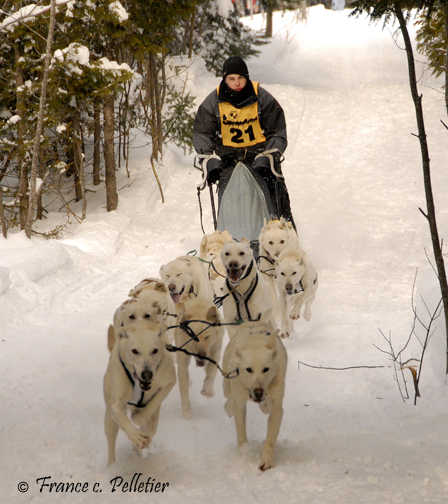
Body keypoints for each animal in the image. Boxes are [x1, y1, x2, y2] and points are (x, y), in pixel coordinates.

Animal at [104, 320, 176, 466]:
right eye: (135, 351)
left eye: (155, 350)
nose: (147, 374)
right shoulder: (117, 403)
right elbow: (121, 415)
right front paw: (135, 436)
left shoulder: (169, 381)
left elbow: (153, 404)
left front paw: (138, 418)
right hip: (109, 420)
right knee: (111, 438)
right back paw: (112, 465)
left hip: (153, 422)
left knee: (150, 427)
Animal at [221, 322, 288, 472]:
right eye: (249, 369)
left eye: (266, 369)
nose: (258, 392)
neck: (255, 342)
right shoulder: (240, 403)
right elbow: (241, 433)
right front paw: (245, 453)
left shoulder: (277, 406)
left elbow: (270, 439)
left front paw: (266, 461)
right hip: (227, 385)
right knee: (229, 399)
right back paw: (229, 408)